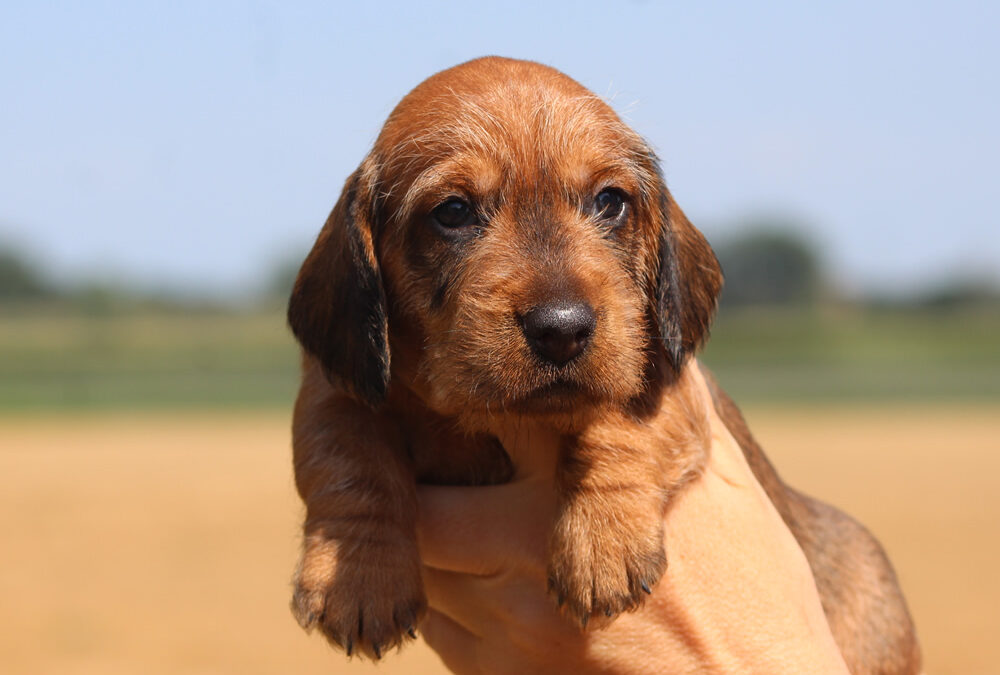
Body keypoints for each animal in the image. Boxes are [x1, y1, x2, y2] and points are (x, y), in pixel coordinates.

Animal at [286, 56, 916, 672]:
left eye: (609, 201)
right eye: (453, 212)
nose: (562, 329)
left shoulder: (659, 367)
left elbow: (621, 421)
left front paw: (602, 544)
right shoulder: (336, 389)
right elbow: (350, 458)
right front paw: (360, 580)